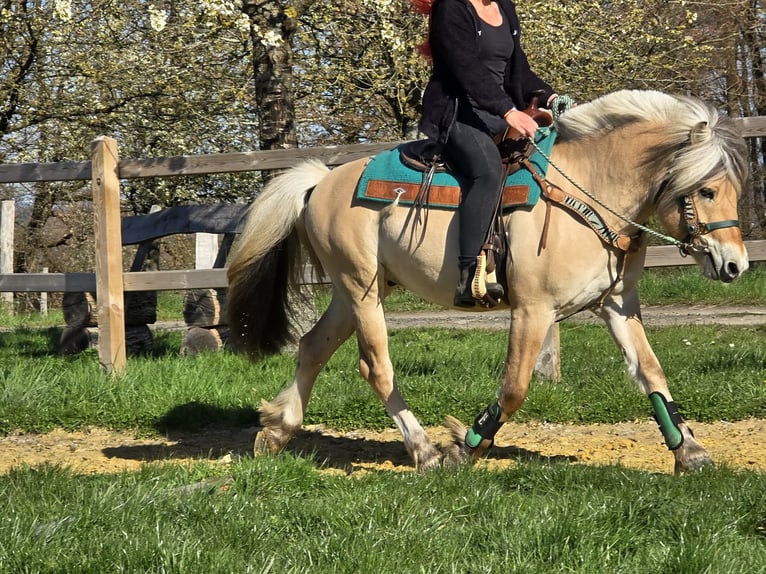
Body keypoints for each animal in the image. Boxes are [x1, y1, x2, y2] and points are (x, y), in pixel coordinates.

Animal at [226, 89, 749, 474]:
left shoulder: (617, 304)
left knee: (313, 347)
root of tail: (322, 180)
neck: (586, 191)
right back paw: (424, 450)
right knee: (376, 368)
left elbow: (651, 373)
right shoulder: (533, 310)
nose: (735, 266)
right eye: (706, 191)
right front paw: (466, 445)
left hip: (352, 292)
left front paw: (690, 452)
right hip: (362, 290)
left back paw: (277, 430)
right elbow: (515, 388)